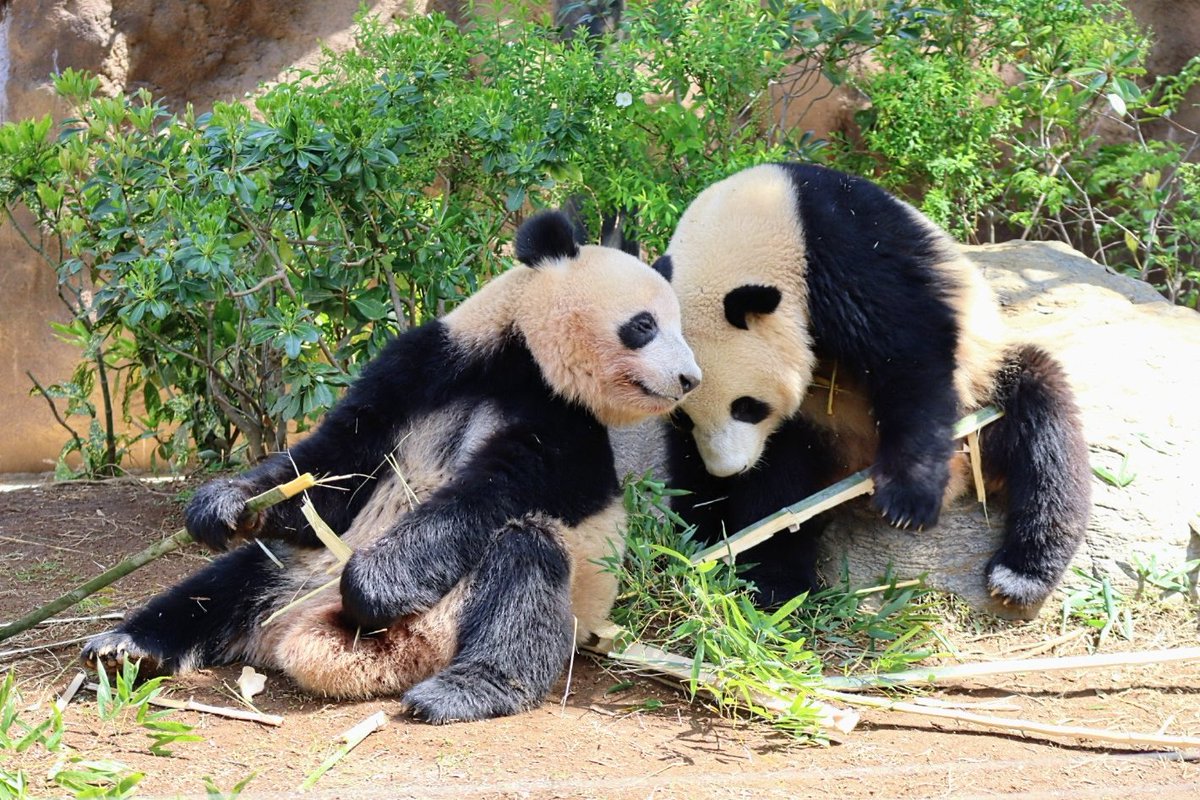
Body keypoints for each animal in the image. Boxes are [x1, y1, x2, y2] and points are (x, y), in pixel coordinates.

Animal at [82, 209, 700, 724]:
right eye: (645, 324)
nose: (690, 379)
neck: (519, 361)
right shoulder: (424, 365)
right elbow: (332, 468)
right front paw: (227, 504)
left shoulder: (567, 426)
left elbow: (491, 493)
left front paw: (375, 585)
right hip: (296, 574)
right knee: (226, 582)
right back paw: (126, 647)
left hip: (493, 608)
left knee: (526, 566)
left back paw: (463, 691)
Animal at [652, 160, 1094, 614]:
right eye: (685, 418)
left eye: (746, 406)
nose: (729, 469)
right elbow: (694, 468)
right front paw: (696, 529)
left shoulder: (843, 248)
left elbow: (910, 352)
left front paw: (907, 501)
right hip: (822, 428)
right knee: (781, 492)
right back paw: (777, 584)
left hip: (984, 391)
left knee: (1045, 433)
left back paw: (1021, 574)